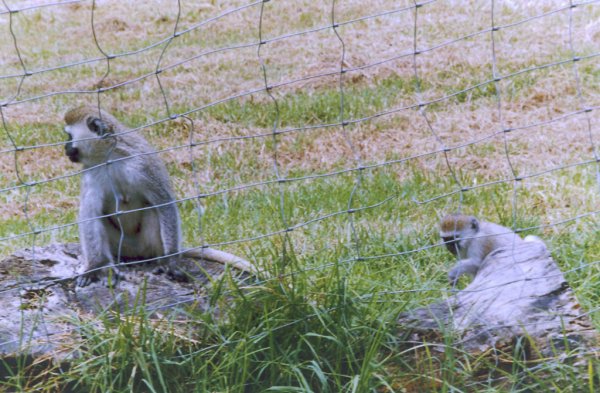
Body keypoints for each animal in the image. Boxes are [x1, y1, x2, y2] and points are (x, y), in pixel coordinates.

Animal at [63, 105, 255, 286]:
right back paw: (110, 263)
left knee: (152, 211)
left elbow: (164, 202)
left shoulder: (143, 164)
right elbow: (90, 214)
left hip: (146, 246)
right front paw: (96, 267)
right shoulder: (91, 173)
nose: (65, 147)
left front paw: (170, 262)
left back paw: (160, 260)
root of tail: (135, 254)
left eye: (69, 137)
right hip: (120, 246)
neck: (110, 158)